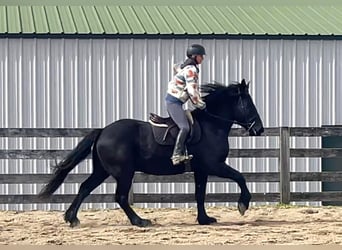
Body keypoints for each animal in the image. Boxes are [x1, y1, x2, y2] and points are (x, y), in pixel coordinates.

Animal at [39, 79, 264, 228]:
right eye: (248, 103)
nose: (259, 129)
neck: (212, 125)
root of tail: (103, 131)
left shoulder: (202, 170)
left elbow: (200, 194)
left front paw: (204, 219)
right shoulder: (214, 165)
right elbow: (240, 177)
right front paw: (243, 204)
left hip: (102, 170)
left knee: (85, 188)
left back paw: (72, 218)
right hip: (124, 172)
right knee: (120, 196)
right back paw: (139, 221)